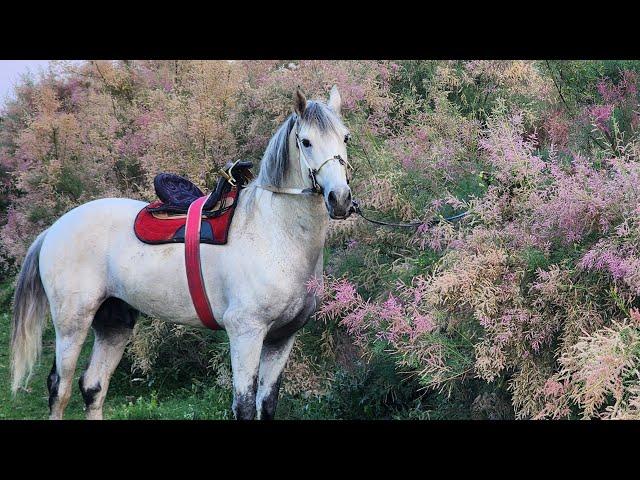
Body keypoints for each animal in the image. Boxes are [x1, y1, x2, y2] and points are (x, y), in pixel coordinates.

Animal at [10, 86, 352, 420]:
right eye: (306, 141)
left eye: (345, 137)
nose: (340, 199)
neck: (274, 232)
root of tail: (54, 230)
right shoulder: (246, 332)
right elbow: (243, 406)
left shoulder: (282, 338)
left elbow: (266, 405)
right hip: (72, 324)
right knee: (60, 389)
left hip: (114, 323)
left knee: (93, 386)